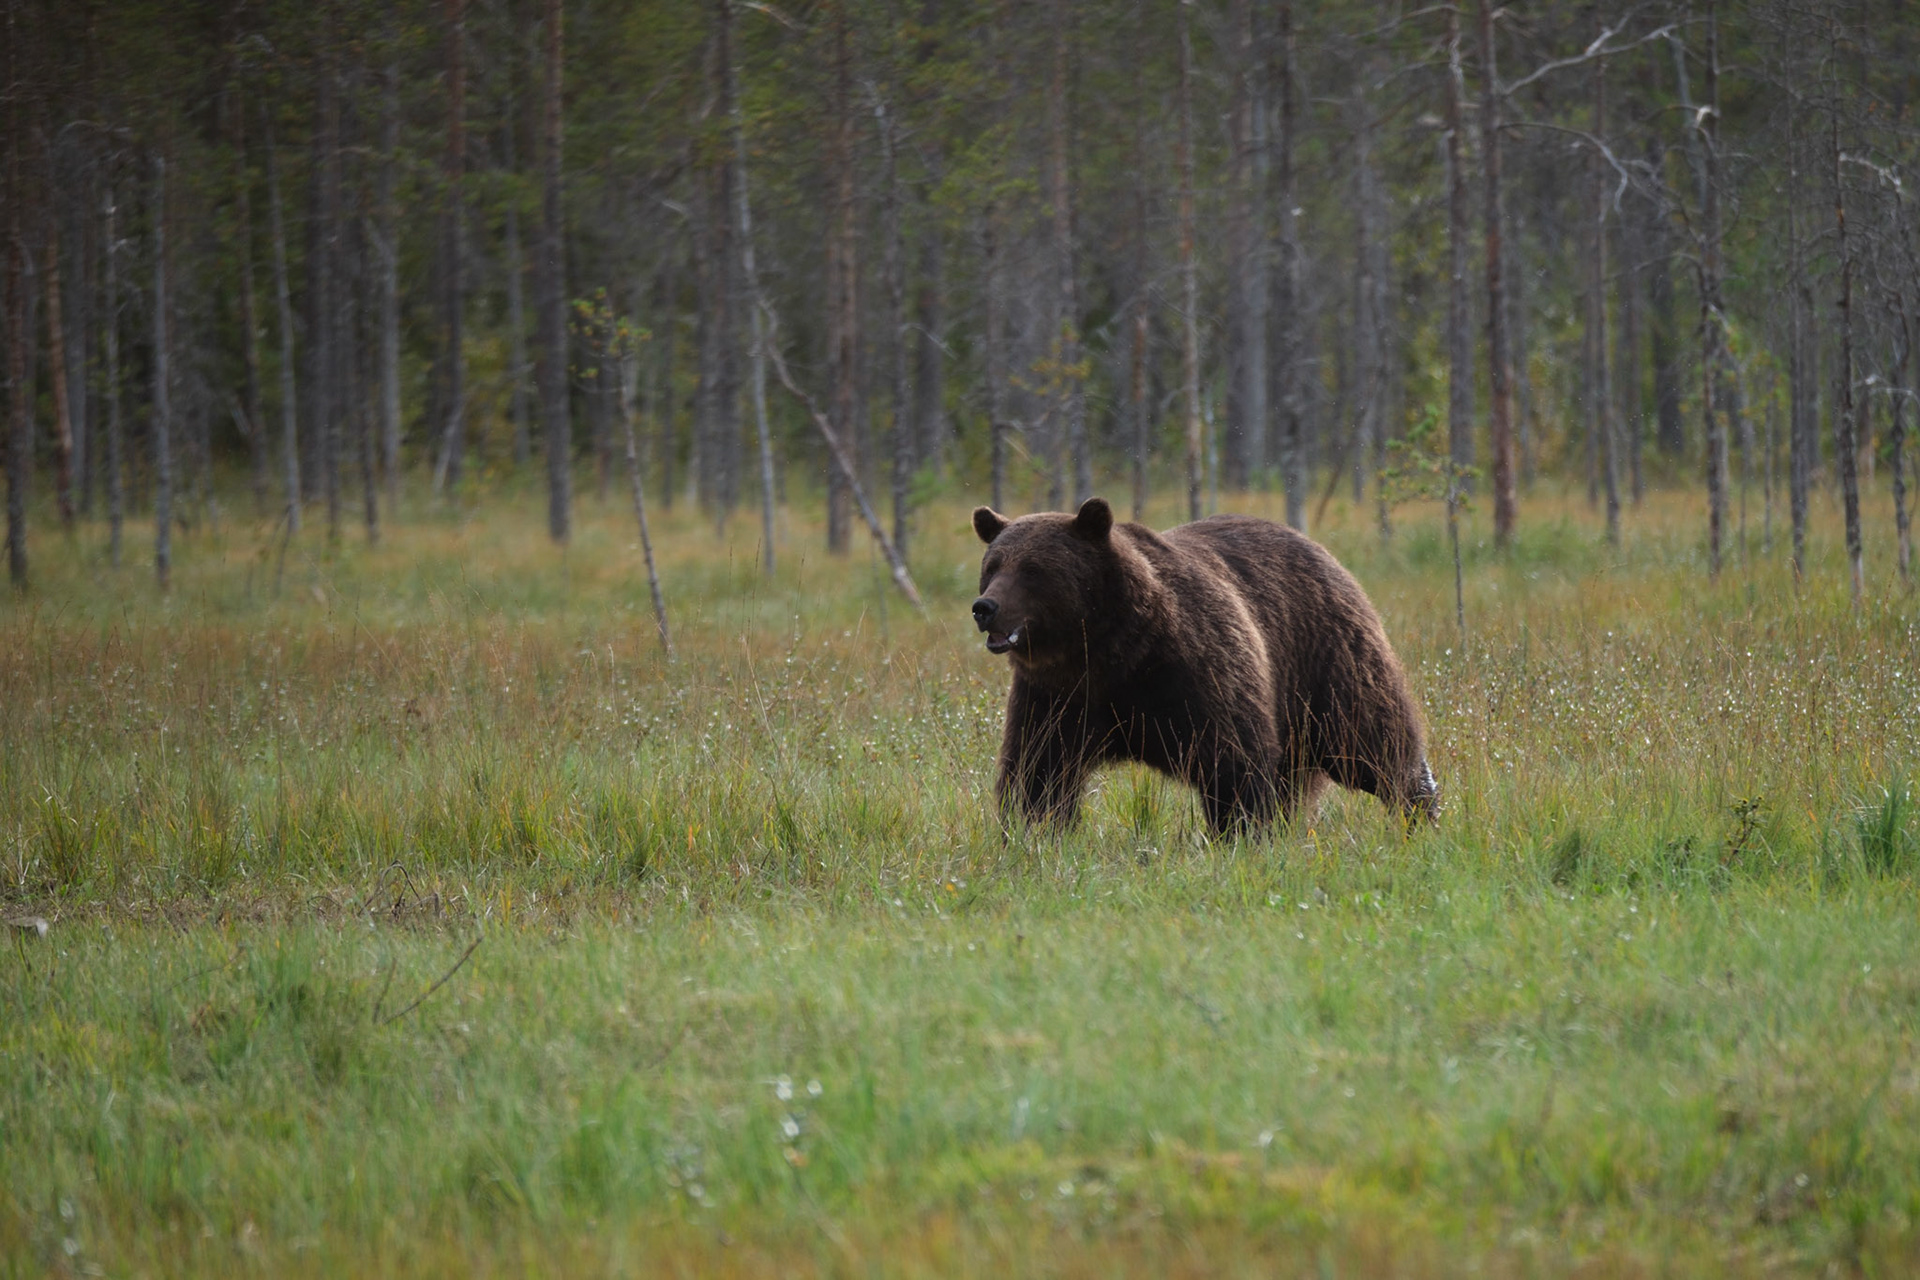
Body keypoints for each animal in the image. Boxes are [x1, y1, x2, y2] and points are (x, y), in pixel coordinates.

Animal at [970, 496, 1438, 835]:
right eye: (992, 566)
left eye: (1033, 569)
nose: (985, 607)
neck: (1113, 650)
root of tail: (1321, 551)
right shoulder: (1058, 696)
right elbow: (1038, 772)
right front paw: (1034, 833)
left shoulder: (1194, 669)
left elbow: (1233, 760)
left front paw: (1240, 834)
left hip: (1324, 660)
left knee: (1372, 742)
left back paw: (1421, 814)